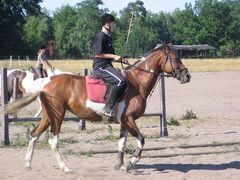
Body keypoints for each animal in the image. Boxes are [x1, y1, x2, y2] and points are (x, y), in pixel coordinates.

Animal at [6, 43, 190, 173]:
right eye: (175, 59)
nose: (187, 76)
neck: (136, 82)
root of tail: (46, 81)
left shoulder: (124, 121)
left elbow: (121, 142)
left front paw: (120, 165)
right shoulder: (129, 118)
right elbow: (141, 139)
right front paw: (131, 163)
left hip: (47, 116)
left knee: (34, 135)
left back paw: (28, 164)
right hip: (57, 115)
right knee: (53, 141)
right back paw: (65, 168)